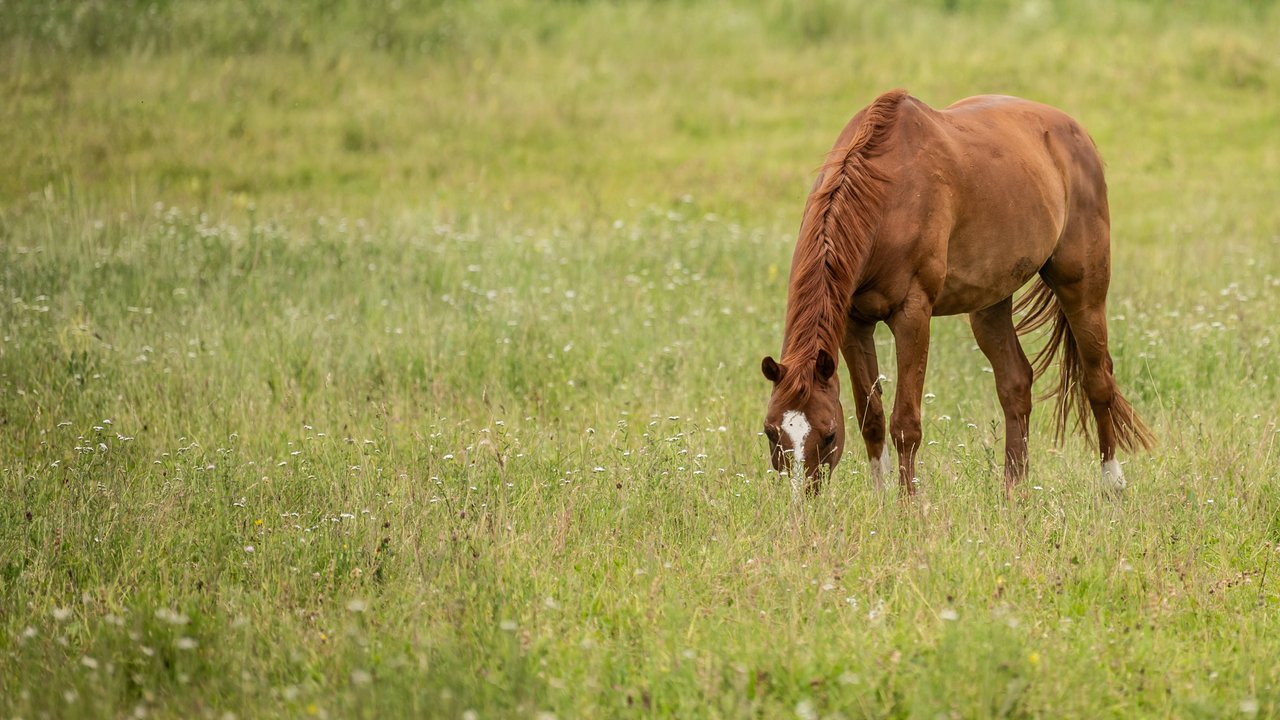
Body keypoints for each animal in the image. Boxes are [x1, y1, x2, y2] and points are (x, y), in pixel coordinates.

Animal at [762, 87, 1157, 497]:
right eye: (772, 433)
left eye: (827, 435)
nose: (800, 503)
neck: (885, 197)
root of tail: (1075, 132)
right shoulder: (855, 323)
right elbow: (872, 418)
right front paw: (881, 499)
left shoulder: (912, 315)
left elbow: (905, 423)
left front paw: (907, 503)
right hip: (990, 303)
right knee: (1016, 384)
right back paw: (1013, 491)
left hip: (1083, 290)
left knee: (1098, 380)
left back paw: (1112, 482)